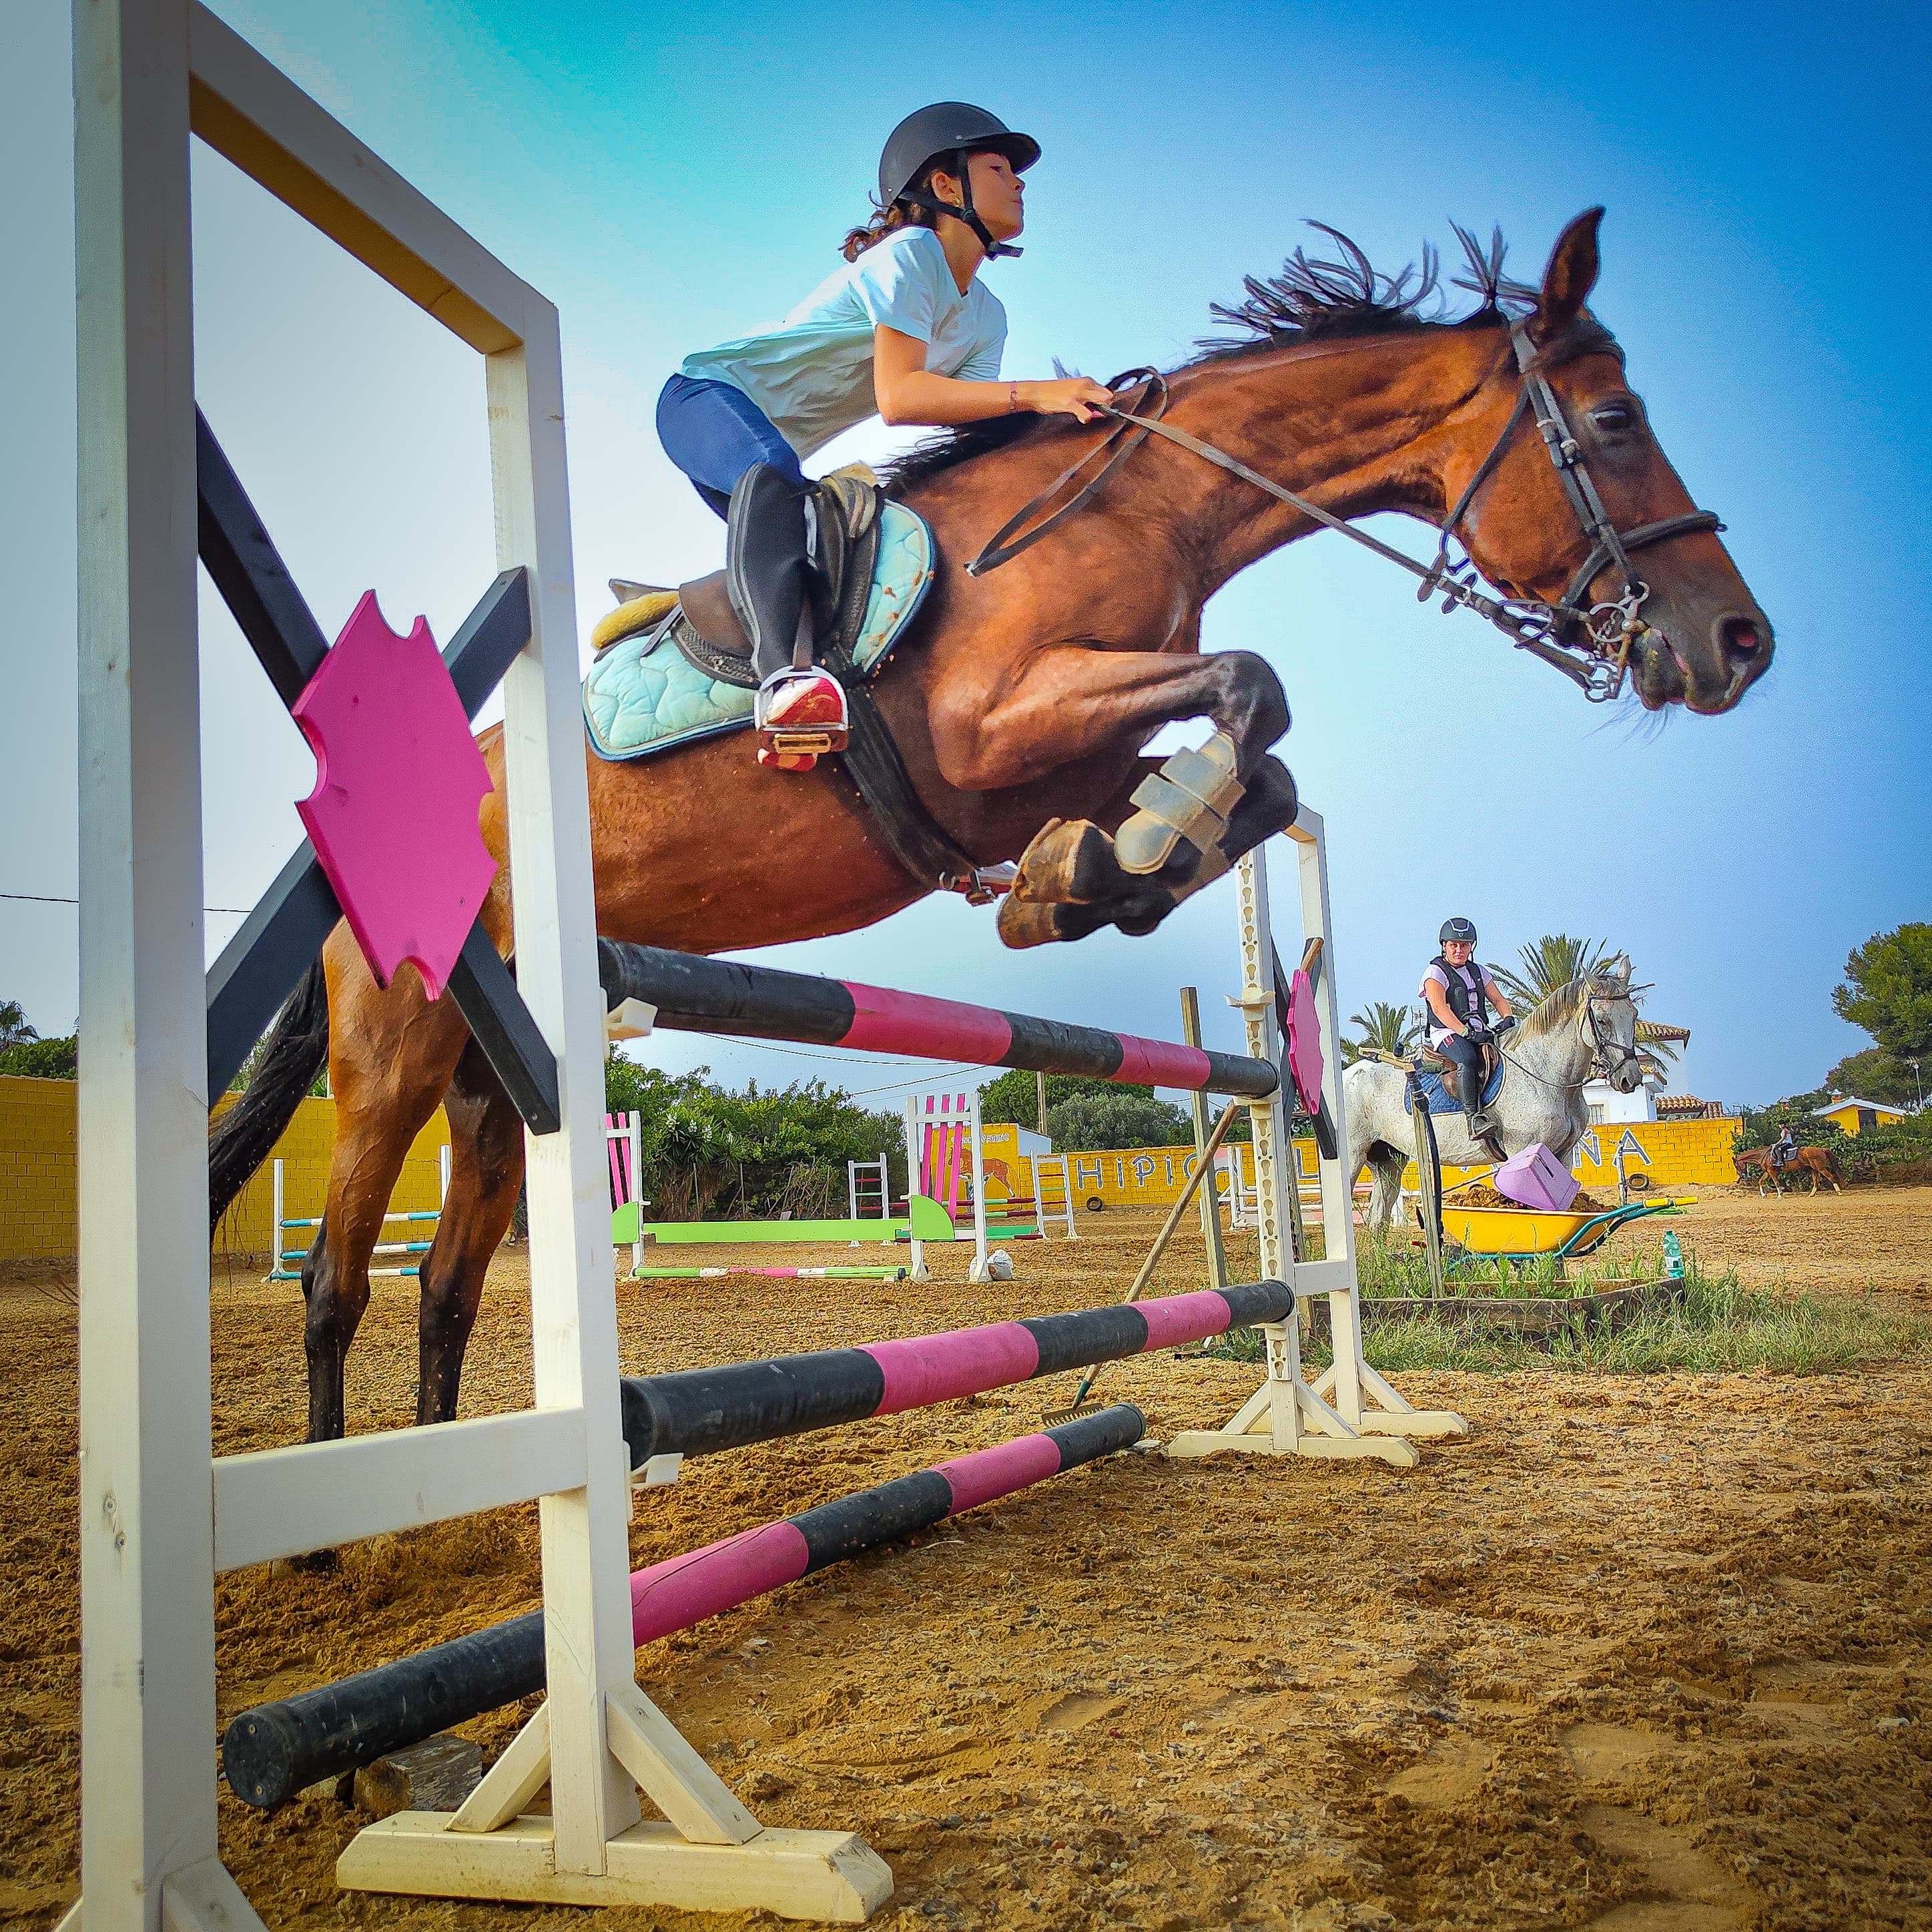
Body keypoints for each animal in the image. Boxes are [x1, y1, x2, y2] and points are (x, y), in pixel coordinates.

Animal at [1345, 958, 1647, 1227]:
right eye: (1602, 1020)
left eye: (1634, 1016)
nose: (1629, 1078)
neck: (1545, 1074)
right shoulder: (1522, 1154)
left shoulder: (1562, 1155)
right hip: (1353, 1157)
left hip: (1389, 1160)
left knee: (1377, 1218)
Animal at [1734, 1145, 1841, 1196]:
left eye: (1737, 1166)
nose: (1742, 1177)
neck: (1764, 1155)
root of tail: (1822, 1149)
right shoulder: (1768, 1172)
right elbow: (1761, 1181)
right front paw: (1764, 1195)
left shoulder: (1771, 1171)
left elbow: (1776, 1182)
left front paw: (1780, 1195)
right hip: (1814, 1169)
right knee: (1816, 1181)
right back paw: (1811, 1195)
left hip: (1820, 1168)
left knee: (1831, 1177)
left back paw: (1839, 1192)